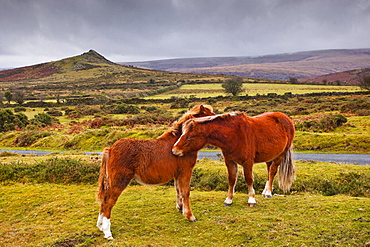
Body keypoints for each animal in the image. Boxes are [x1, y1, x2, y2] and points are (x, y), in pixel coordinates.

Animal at [97, 104, 215, 239]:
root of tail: (110, 149)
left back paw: (100, 226)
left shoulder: (177, 174)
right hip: (119, 181)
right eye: (209, 117)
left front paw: (180, 208)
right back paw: (107, 232)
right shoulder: (185, 171)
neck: (179, 142)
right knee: (109, 201)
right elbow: (185, 192)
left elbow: (178, 191)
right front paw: (190, 216)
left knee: (104, 200)